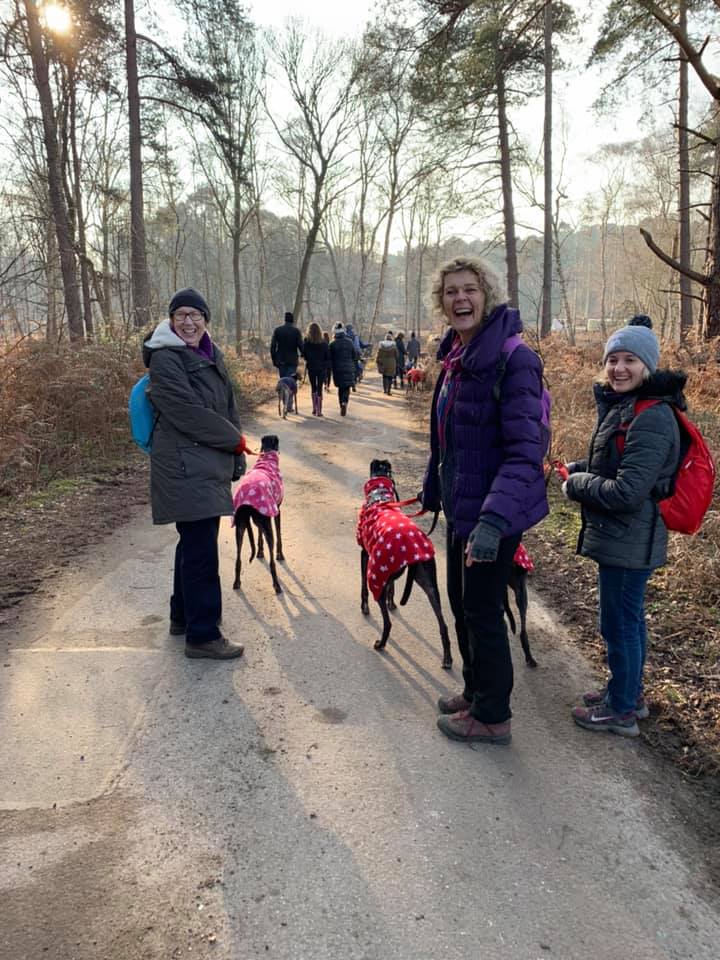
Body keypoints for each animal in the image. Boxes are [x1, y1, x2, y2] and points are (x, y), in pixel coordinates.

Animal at [232, 435, 284, 594]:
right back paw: (276, 585)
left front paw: (260, 551)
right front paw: (280, 555)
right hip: (266, 526)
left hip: (240, 526)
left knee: (238, 558)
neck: (267, 458)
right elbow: (279, 534)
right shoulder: (276, 510)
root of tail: (246, 502)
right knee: (272, 561)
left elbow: (259, 533)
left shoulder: (263, 516)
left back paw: (237, 582)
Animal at [357, 459, 452, 669]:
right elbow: (392, 587)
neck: (379, 497)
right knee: (443, 624)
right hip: (428, 583)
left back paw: (381, 644)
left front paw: (364, 607)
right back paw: (447, 659)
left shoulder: (365, 554)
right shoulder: (388, 571)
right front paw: (392, 603)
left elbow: (363, 588)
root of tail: (412, 542)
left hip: (376, 575)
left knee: (387, 623)